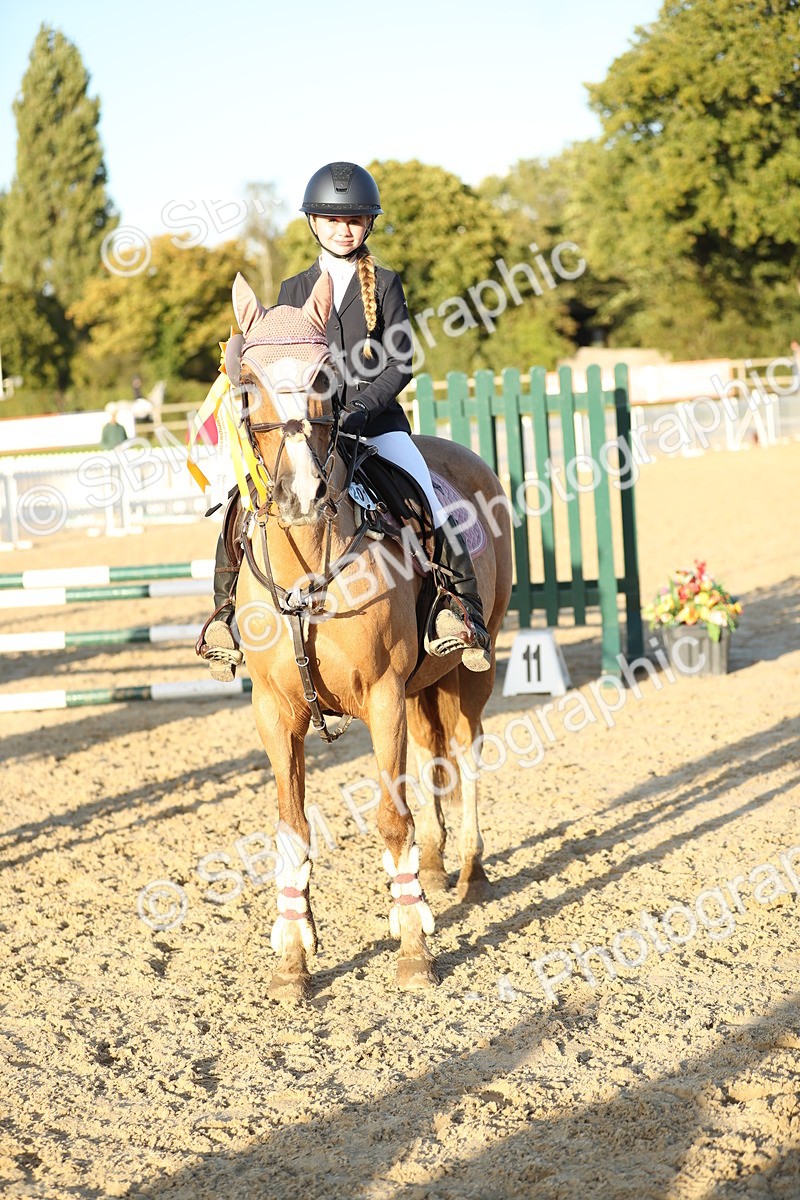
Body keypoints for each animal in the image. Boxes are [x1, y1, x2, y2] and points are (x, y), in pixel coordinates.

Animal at [228, 271, 513, 998]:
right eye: (247, 381)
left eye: (325, 378)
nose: (300, 495)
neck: (309, 568)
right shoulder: (275, 712)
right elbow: (292, 826)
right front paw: (293, 957)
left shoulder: (383, 694)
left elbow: (391, 817)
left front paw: (413, 948)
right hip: (422, 685)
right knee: (433, 750)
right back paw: (435, 864)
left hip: (473, 664)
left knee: (466, 752)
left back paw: (469, 872)